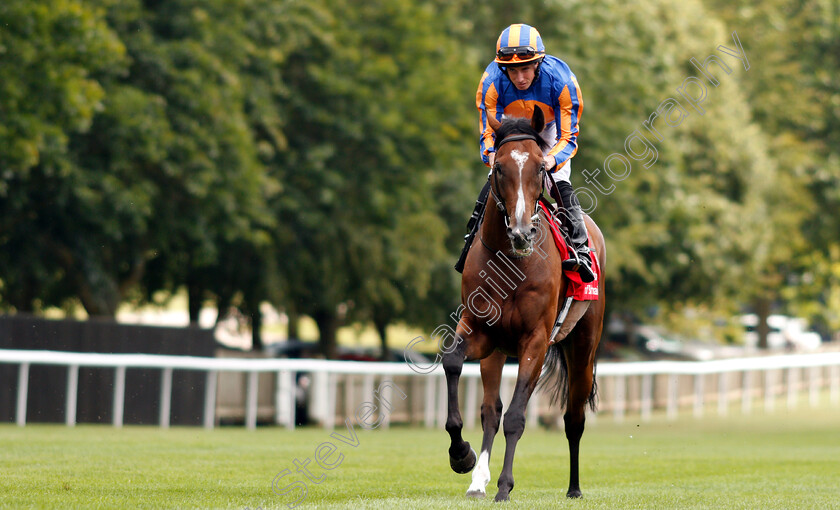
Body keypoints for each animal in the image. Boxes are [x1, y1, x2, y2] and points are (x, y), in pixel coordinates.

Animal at [442, 105, 608, 500]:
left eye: (538, 168)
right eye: (499, 167)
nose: (521, 233)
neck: (511, 261)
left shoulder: (535, 340)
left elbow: (517, 416)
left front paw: (505, 486)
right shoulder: (481, 330)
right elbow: (453, 362)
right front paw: (462, 455)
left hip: (583, 346)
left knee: (574, 417)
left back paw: (574, 488)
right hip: (497, 351)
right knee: (490, 409)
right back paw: (477, 481)